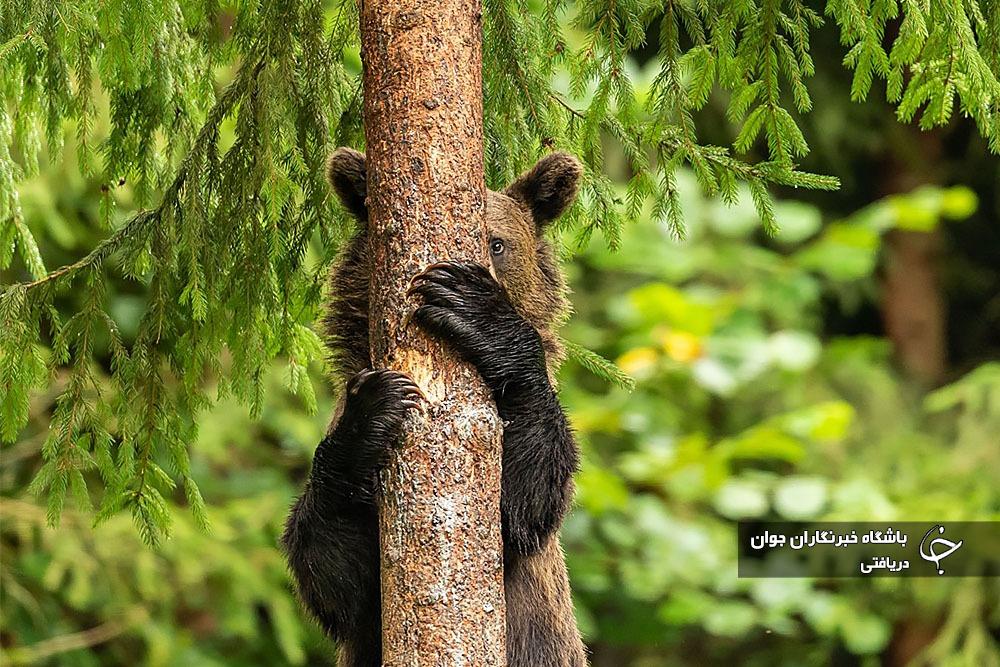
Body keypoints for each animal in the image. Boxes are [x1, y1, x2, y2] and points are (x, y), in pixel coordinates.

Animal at [282, 147, 588, 667]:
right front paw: (375, 410)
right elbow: (332, 569)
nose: (478, 270)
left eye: (498, 243)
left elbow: (521, 504)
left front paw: (473, 307)